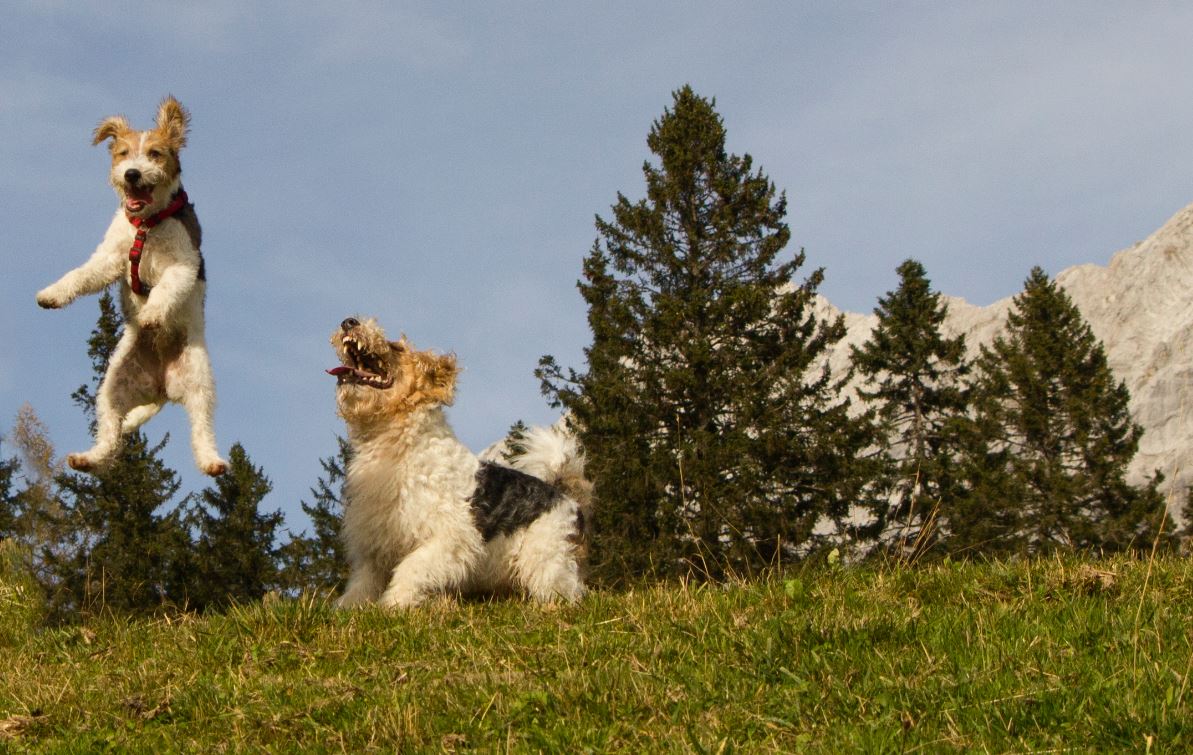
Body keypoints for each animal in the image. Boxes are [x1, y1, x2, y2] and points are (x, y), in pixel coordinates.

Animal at [35, 97, 225, 474]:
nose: (132, 174)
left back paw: (213, 462)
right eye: (123, 153)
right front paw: (51, 295)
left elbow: (165, 289)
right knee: (111, 434)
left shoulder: (182, 264)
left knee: (201, 430)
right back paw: (88, 459)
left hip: (199, 382)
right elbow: (80, 276)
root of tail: (162, 386)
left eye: (154, 153)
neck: (146, 223)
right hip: (113, 386)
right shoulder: (109, 259)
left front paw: (151, 313)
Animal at [329, 317, 589, 605]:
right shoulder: (373, 544)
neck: (396, 445)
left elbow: (410, 569)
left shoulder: (450, 537)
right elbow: (362, 584)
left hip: (546, 558)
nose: (349, 321)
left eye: (397, 347)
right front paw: (347, 607)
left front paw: (394, 605)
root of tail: (564, 495)